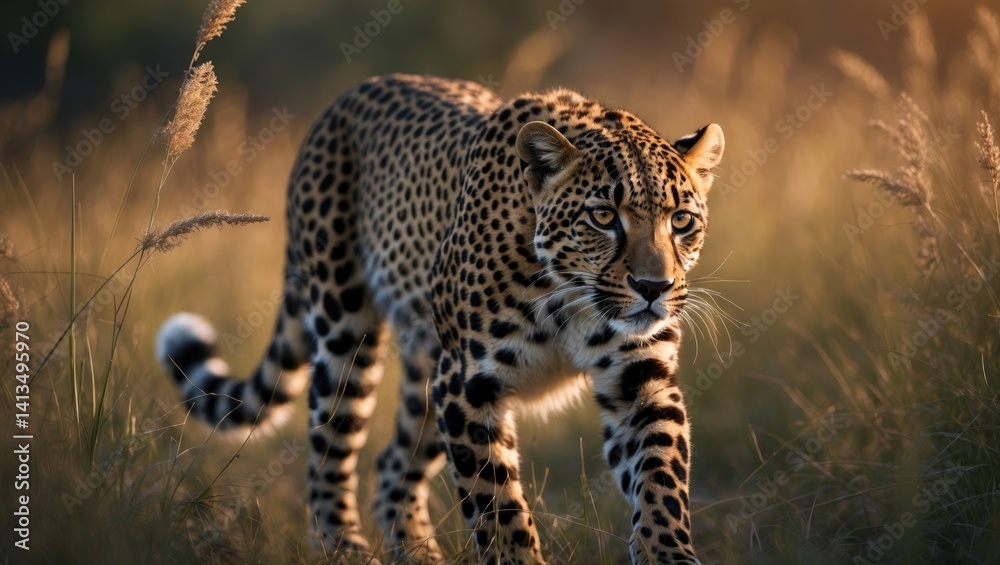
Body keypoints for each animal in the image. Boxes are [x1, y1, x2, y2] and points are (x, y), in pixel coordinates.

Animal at [156, 73, 724, 564]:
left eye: (681, 221)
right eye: (603, 217)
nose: (654, 289)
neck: (569, 296)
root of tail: (353, 93)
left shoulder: (639, 378)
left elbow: (659, 478)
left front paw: (669, 555)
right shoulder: (470, 383)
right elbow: (498, 506)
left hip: (427, 374)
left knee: (392, 469)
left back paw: (418, 554)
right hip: (346, 332)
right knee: (329, 453)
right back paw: (345, 548)